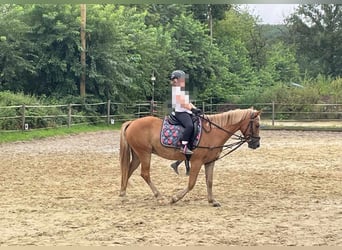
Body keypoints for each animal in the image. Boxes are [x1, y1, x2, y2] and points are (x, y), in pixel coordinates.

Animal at [119, 107, 260, 207]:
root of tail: (132, 123)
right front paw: (175, 198)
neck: (213, 133)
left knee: (128, 171)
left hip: (138, 155)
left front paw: (212, 201)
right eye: (257, 125)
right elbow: (192, 183)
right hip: (144, 153)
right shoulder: (197, 162)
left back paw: (123, 194)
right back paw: (159, 197)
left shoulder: (210, 161)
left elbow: (209, 181)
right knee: (144, 174)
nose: (256, 144)